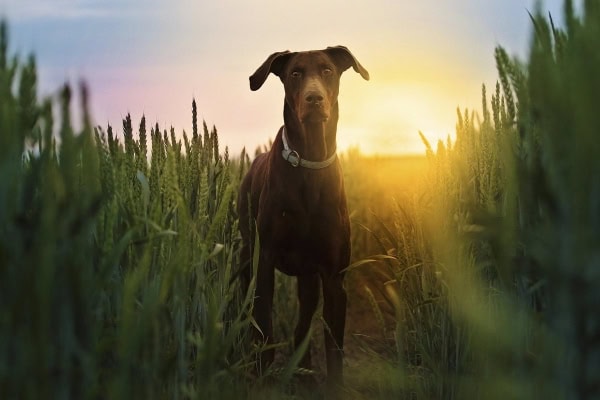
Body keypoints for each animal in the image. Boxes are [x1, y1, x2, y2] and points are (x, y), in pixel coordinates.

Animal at [237, 46, 368, 384]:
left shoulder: (334, 278)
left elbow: (334, 349)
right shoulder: (265, 262)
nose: (314, 98)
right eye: (295, 73)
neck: (310, 161)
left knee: (302, 323)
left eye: (327, 70)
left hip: (309, 278)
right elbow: (264, 327)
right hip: (246, 256)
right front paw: (261, 372)